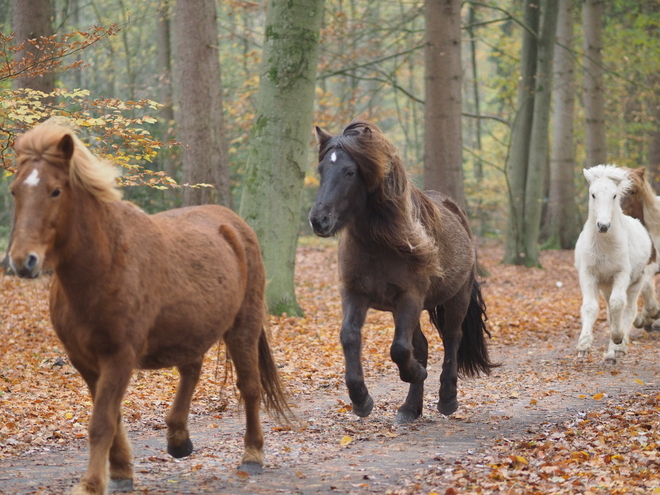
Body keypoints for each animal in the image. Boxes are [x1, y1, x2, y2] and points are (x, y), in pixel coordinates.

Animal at [8, 121, 292, 495]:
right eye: (14, 191)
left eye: (55, 191)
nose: (22, 261)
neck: (105, 264)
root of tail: (233, 224)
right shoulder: (84, 360)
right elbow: (111, 417)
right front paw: (121, 472)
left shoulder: (119, 356)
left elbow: (101, 422)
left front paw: (91, 484)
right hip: (191, 328)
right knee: (192, 369)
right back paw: (178, 438)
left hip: (242, 326)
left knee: (249, 387)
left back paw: (252, 455)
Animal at [310, 119, 496, 422]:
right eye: (321, 170)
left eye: (350, 171)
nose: (319, 220)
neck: (377, 243)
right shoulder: (355, 294)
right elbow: (350, 336)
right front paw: (361, 399)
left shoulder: (409, 298)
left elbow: (398, 349)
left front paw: (417, 374)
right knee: (421, 345)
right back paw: (410, 408)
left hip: (456, 297)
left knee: (451, 338)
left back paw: (447, 398)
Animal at [576, 165, 652, 362]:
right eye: (593, 194)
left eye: (614, 195)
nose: (603, 226)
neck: (604, 246)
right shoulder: (589, 275)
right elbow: (591, 307)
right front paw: (583, 346)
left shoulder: (621, 274)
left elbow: (618, 304)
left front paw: (618, 338)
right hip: (605, 287)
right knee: (611, 312)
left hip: (636, 282)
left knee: (628, 309)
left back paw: (617, 349)